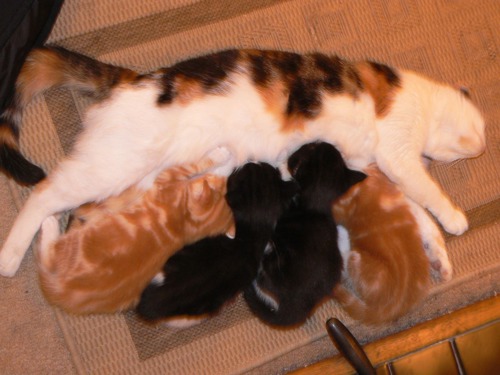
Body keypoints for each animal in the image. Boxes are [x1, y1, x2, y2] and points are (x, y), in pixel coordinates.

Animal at [0, 46, 484, 276]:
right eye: (481, 132)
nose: (482, 147)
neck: (420, 99)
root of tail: (132, 78)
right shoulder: (396, 153)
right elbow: (425, 191)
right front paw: (455, 219)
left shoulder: (369, 170)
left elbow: (415, 211)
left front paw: (438, 253)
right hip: (112, 165)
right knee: (44, 192)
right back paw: (10, 256)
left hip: (137, 182)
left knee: (80, 217)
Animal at [35, 148, 234, 316]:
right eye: (217, 183)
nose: (219, 178)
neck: (185, 223)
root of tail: (59, 293)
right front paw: (225, 161)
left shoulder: (167, 178)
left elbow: (192, 164)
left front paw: (220, 155)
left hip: (71, 247)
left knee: (48, 256)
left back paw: (50, 225)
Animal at [244, 142, 366, 328]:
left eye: (312, 147)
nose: (320, 141)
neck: (316, 207)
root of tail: (299, 305)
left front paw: (281, 164)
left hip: (272, 263)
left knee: (263, 278)